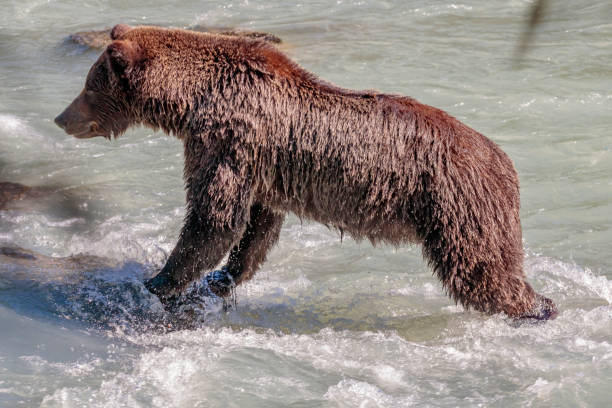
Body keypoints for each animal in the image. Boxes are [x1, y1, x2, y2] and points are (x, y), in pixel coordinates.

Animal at [56, 23, 560, 320]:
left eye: (88, 85)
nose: (61, 117)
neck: (194, 99)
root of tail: (504, 161)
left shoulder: (226, 138)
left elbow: (213, 218)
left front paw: (157, 283)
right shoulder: (259, 163)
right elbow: (255, 227)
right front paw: (220, 280)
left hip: (458, 208)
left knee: (482, 271)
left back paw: (539, 308)